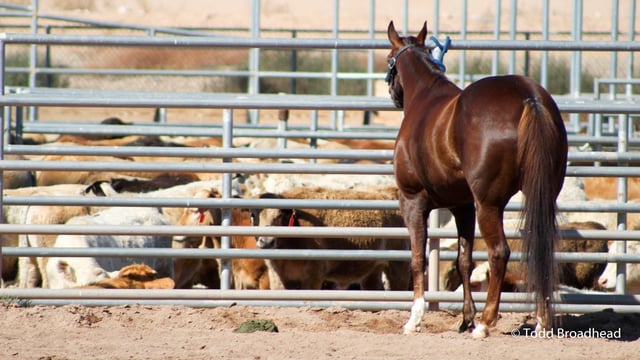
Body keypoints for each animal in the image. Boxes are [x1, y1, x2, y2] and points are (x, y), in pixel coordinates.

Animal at [388, 21, 568, 338]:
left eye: (389, 59)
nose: (393, 94)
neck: (425, 98)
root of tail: (529, 97)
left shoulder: (412, 201)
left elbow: (418, 259)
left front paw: (415, 319)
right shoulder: (462, 206)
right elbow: (463, 260)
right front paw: (465, 318)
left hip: (489, 205)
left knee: (499, 253)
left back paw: (485, 323)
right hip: (541, 195)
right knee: (542, 251)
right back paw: (541, 322)